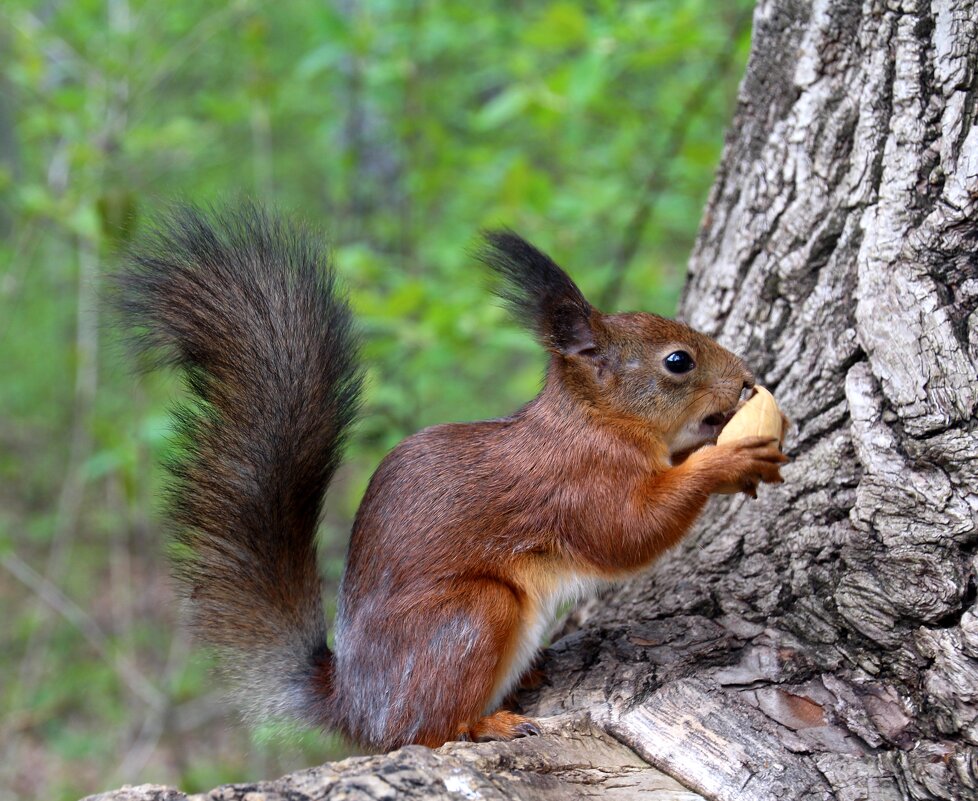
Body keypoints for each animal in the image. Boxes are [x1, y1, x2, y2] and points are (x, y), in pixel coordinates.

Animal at [114, 205, 784, 752]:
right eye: (678, 361)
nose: (749, 379)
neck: (596, 420)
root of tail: (356, 706)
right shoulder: (576, 483)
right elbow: (626, 535)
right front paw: (726, 462)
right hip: (471, 615)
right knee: (426, 732)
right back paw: (488, 723)